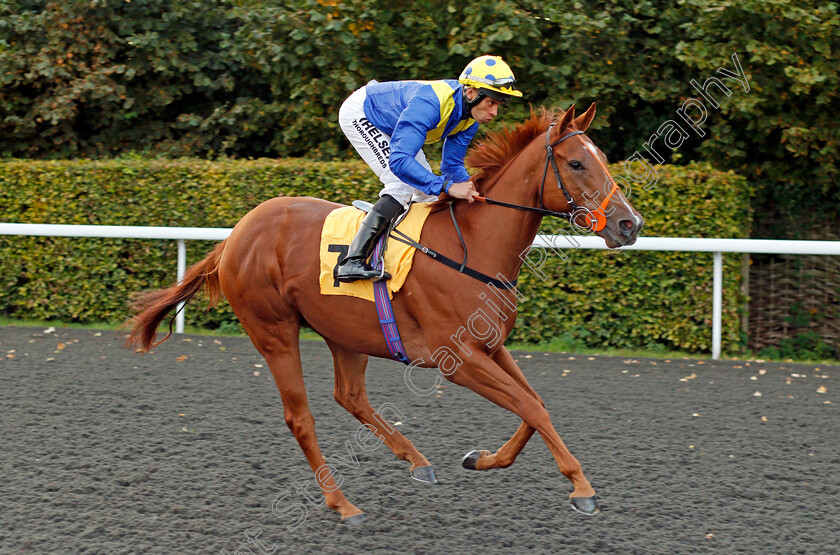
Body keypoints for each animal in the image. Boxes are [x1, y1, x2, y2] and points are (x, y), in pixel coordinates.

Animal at [124, 104, 644, 524]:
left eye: (602, 159)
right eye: (576, 163)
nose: (629, 223)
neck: (473, 247)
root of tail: (235, 235)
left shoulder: (491, 346)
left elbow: (534, 404)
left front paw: (482, 459)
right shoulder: (458, 359)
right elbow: (531, 406)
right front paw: (582, 487)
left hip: (345, 332)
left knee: (349, 396)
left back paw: (415, 460)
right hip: (273, 331)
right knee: (301, 418)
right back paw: (342, 504)